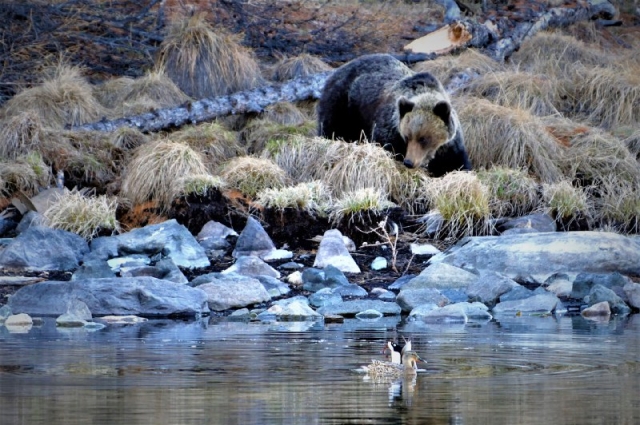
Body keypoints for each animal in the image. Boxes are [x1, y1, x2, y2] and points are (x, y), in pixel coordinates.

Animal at [316, 53, 470, 176]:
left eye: (423, 139)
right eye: (407, 137)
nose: (409, 162)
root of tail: (340, 68)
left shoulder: (449, 146)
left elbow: (456, 164)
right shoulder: (390, 130)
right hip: (342, 104)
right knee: (331, 127)